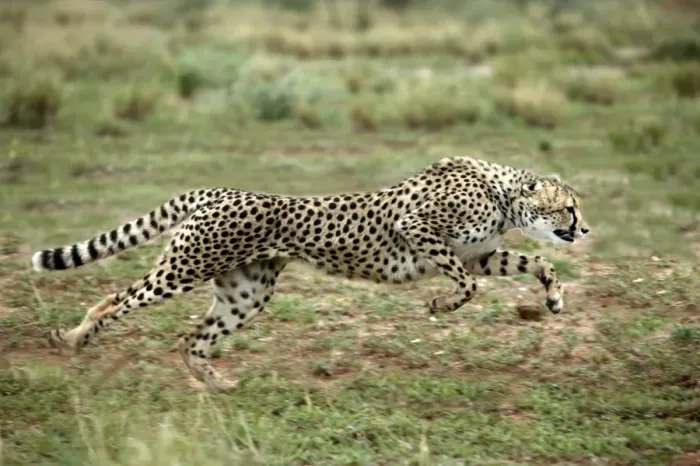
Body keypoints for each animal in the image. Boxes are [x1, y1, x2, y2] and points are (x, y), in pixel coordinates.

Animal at [30, 155, 590, 391]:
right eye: (569, 207)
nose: (584, 228)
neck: (504, 193)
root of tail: (220, 190)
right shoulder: (418, 230)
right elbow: (467, 285)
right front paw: (439, 304)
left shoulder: (480, 254)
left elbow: (536, 262)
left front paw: (554, 297)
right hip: (184, 269)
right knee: (115, 300)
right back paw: (75, 338)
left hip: (245, 294)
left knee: (190, 339)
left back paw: (215, 383)